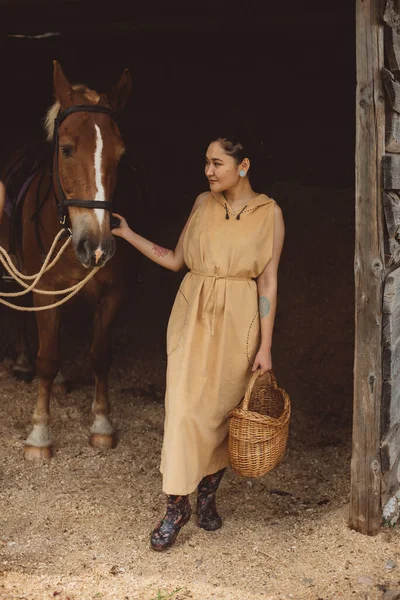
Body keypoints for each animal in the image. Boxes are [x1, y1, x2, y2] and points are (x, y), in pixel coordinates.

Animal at [0, 62, 134, 460]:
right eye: (66, 149)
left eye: (121, 154)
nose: (98, 245)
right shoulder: (43, 288)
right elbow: (47, 357)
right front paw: (39, 434)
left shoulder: (113, 293)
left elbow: (100, 355)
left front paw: (102, 424)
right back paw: (23, 361)